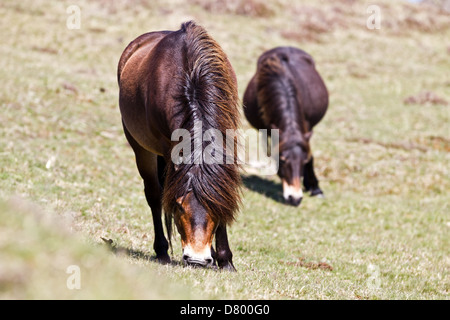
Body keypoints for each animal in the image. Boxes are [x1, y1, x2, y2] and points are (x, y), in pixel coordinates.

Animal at [118, 20, 241, 270]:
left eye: (213, 207)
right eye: (179, 206)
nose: (196, 259)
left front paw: (225, 260)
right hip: (141, 148)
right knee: (154, 194)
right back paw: (162, 251)